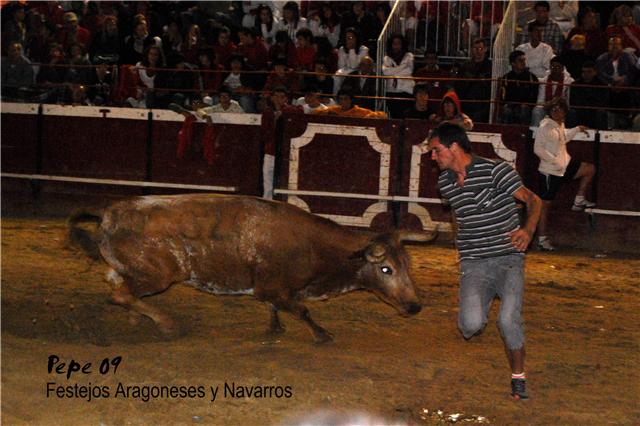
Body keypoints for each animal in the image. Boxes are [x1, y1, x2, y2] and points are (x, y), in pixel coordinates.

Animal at [69, 194, 436, 342]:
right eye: (386, 269)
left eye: (407, 265)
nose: (415, 306)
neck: (315, 246)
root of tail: (108, 212)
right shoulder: (275, 287)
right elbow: (300, 309)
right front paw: (321, 334)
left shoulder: (270, 288)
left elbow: (276, 307)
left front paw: (275, 327)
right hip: (158, 275)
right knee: (121, 294)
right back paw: (168, 325)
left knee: (119, 288)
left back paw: (137, 318)